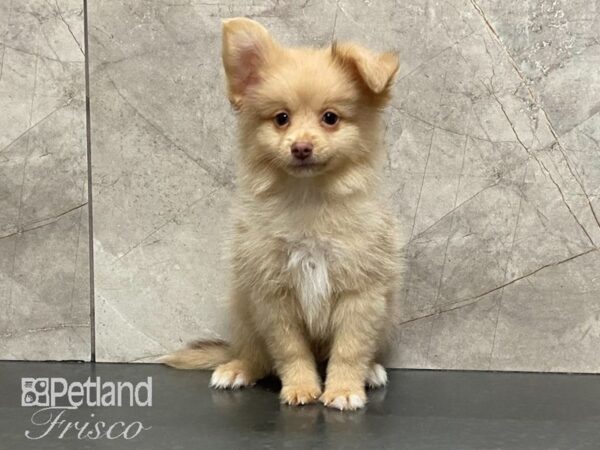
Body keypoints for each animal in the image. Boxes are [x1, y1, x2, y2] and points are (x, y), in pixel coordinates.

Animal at [162, 17, 400, 412]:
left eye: (330, 118)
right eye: (281, 119)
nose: (301, 147)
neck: (307, 198)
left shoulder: (360, 293)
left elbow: (350, 349)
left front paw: (343, 388)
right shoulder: (274, 296)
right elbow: (291, 352)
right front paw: (301, 387)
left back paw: (370, 371)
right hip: (245, 310)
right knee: (256, 355)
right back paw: (237, 368)